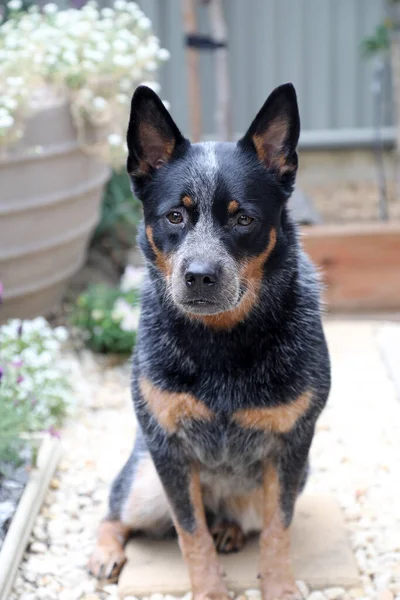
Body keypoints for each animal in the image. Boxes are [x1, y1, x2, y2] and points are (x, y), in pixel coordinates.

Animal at [89, 83, 330, 600]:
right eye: (175, 215)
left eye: (244, 220)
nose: (199, 275)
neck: (222, 344)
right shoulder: (168, 449)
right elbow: (190, 533)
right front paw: (210, 590)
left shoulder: (292, 447)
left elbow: (279, 530)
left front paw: (279, 587)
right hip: (145, 483)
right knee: (116, 510)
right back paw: (105, 551)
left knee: (242, 518)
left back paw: (230, 529)